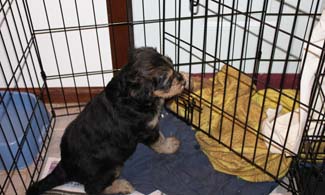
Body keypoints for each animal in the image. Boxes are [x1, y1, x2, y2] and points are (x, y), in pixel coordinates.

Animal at [26, 47, 186, 195]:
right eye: (167, 79)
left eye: (172, 65)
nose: (183, 80)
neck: (132, 96)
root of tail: (65, 167)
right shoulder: (145, 130)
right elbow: (158, 140)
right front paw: (170, 146)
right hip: (111, 167)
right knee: (92, 189)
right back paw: (121, 186)